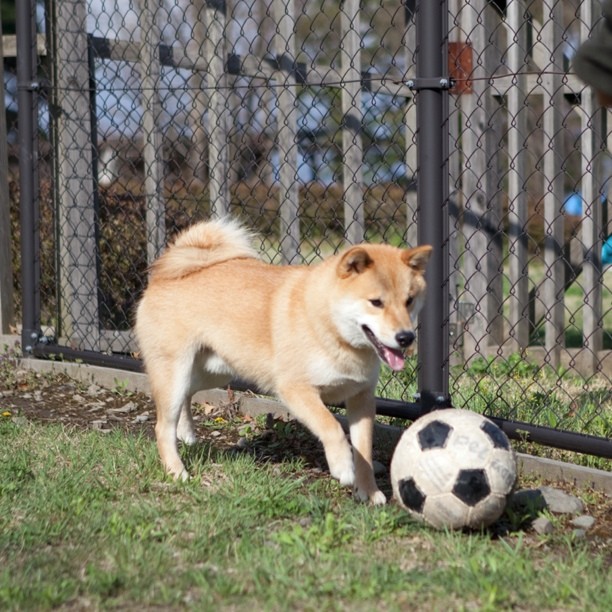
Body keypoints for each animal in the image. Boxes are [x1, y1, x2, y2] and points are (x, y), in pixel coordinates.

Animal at [135, 218, 430, 504]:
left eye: (409, 301)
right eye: (376, 302)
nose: (406, 337)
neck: (328, 327)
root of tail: (164, 274)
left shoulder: (361, 397)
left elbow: (364, 451)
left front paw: (368, 491)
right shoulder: (295, 389)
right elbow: (332, 426)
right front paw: (343, 467)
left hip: (213, 371)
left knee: (187, 396)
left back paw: (186, 433)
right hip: (176, 371)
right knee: (163, 426)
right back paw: (177, 471)